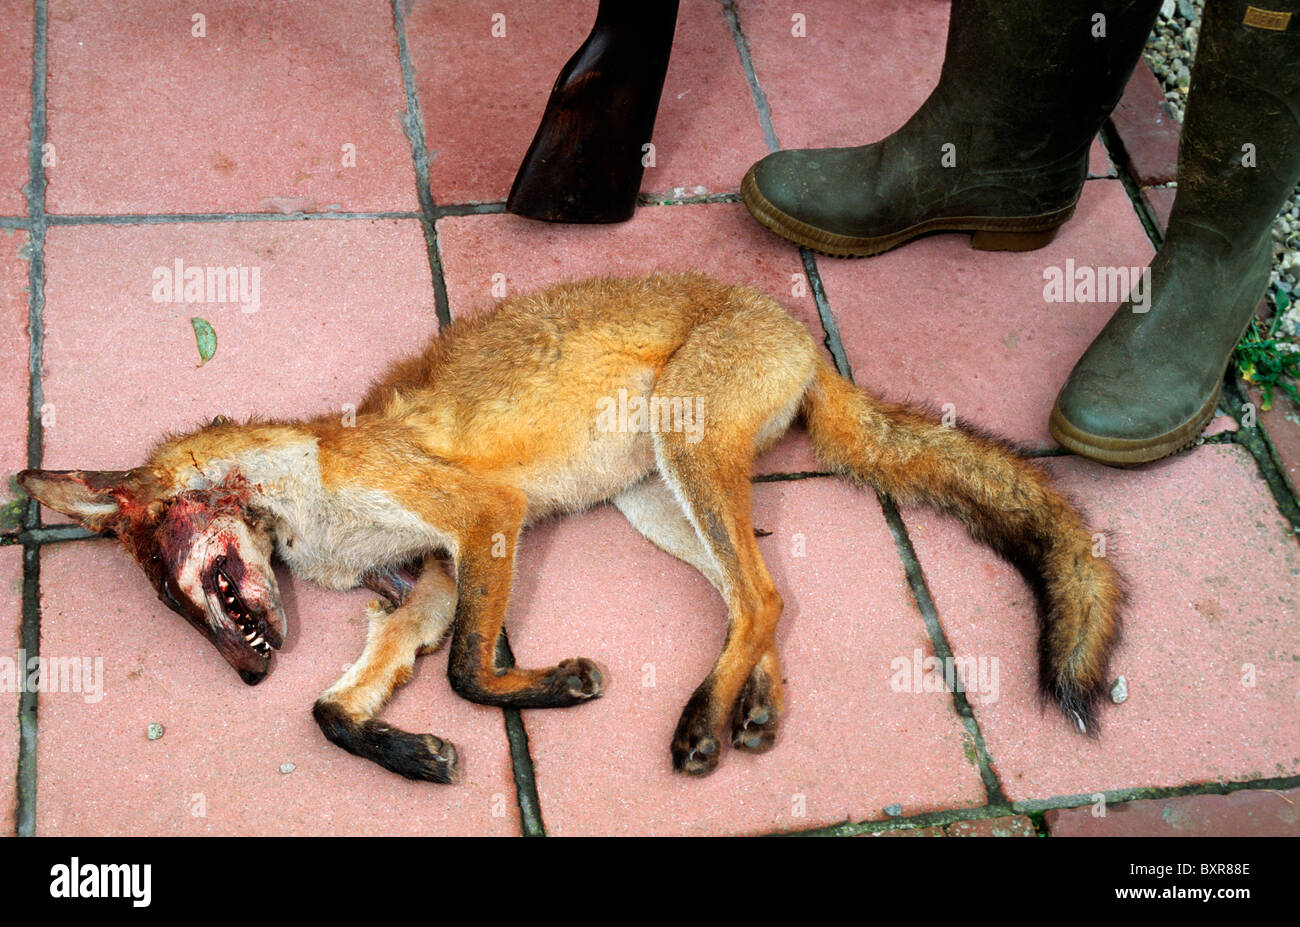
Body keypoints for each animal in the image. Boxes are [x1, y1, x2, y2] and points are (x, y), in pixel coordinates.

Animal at [15, 273, 1118, 780]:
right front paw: (412, 753)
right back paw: (749, 706)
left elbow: (468, 673)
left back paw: (699, 720)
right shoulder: (430, 580)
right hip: (657, 502)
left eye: (173, 582)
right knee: (759, 600)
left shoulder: (481, 518)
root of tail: (796, 327)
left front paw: (546, 690)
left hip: (685, 454)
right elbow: (333, 709)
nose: (245, 673)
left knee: (758, 593)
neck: (313, 513)